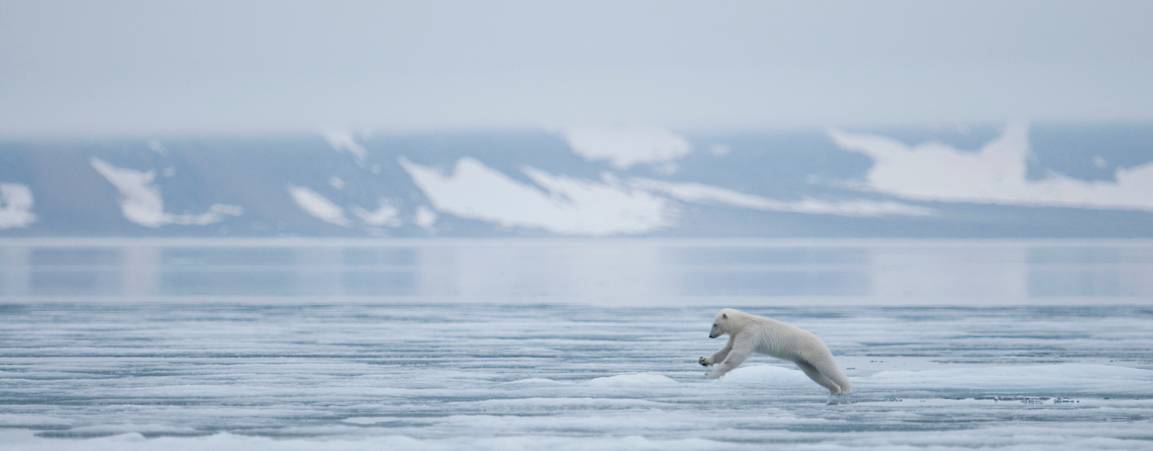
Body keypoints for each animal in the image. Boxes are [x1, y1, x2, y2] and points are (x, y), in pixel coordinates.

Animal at [698, 308, 852, 395]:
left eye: (715, 324)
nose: (710, 336)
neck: (743, 322)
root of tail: (820, 340)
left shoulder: (749, 333)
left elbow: (736, 355)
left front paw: (710, 375)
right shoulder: (736, 334)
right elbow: (726, 350)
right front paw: (704, 360)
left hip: (814, 350)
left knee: (828, 367)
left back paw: (846, 388)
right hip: (803, 360)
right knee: (814, 374)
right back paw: (834, 389)